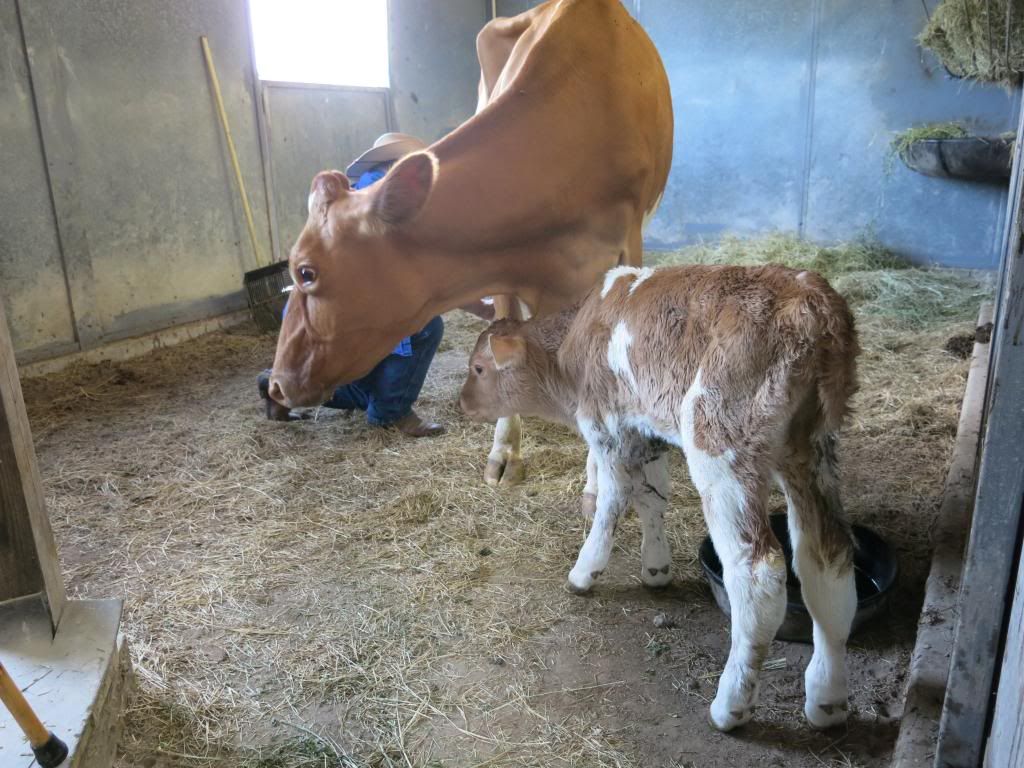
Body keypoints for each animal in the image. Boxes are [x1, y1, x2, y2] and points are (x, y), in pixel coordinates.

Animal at [458, 263, 861, 732]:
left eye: (479, 368)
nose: (463, 403)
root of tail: (810, 306)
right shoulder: (645, 426)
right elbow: (651, 496)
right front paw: (655, 568)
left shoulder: (605, 423)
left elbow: (613, 498)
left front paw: (585, 571)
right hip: (812, 450)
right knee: (827, 559)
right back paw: (827, 699)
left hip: (720, 443)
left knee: (758, 573)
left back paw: (731, 704)